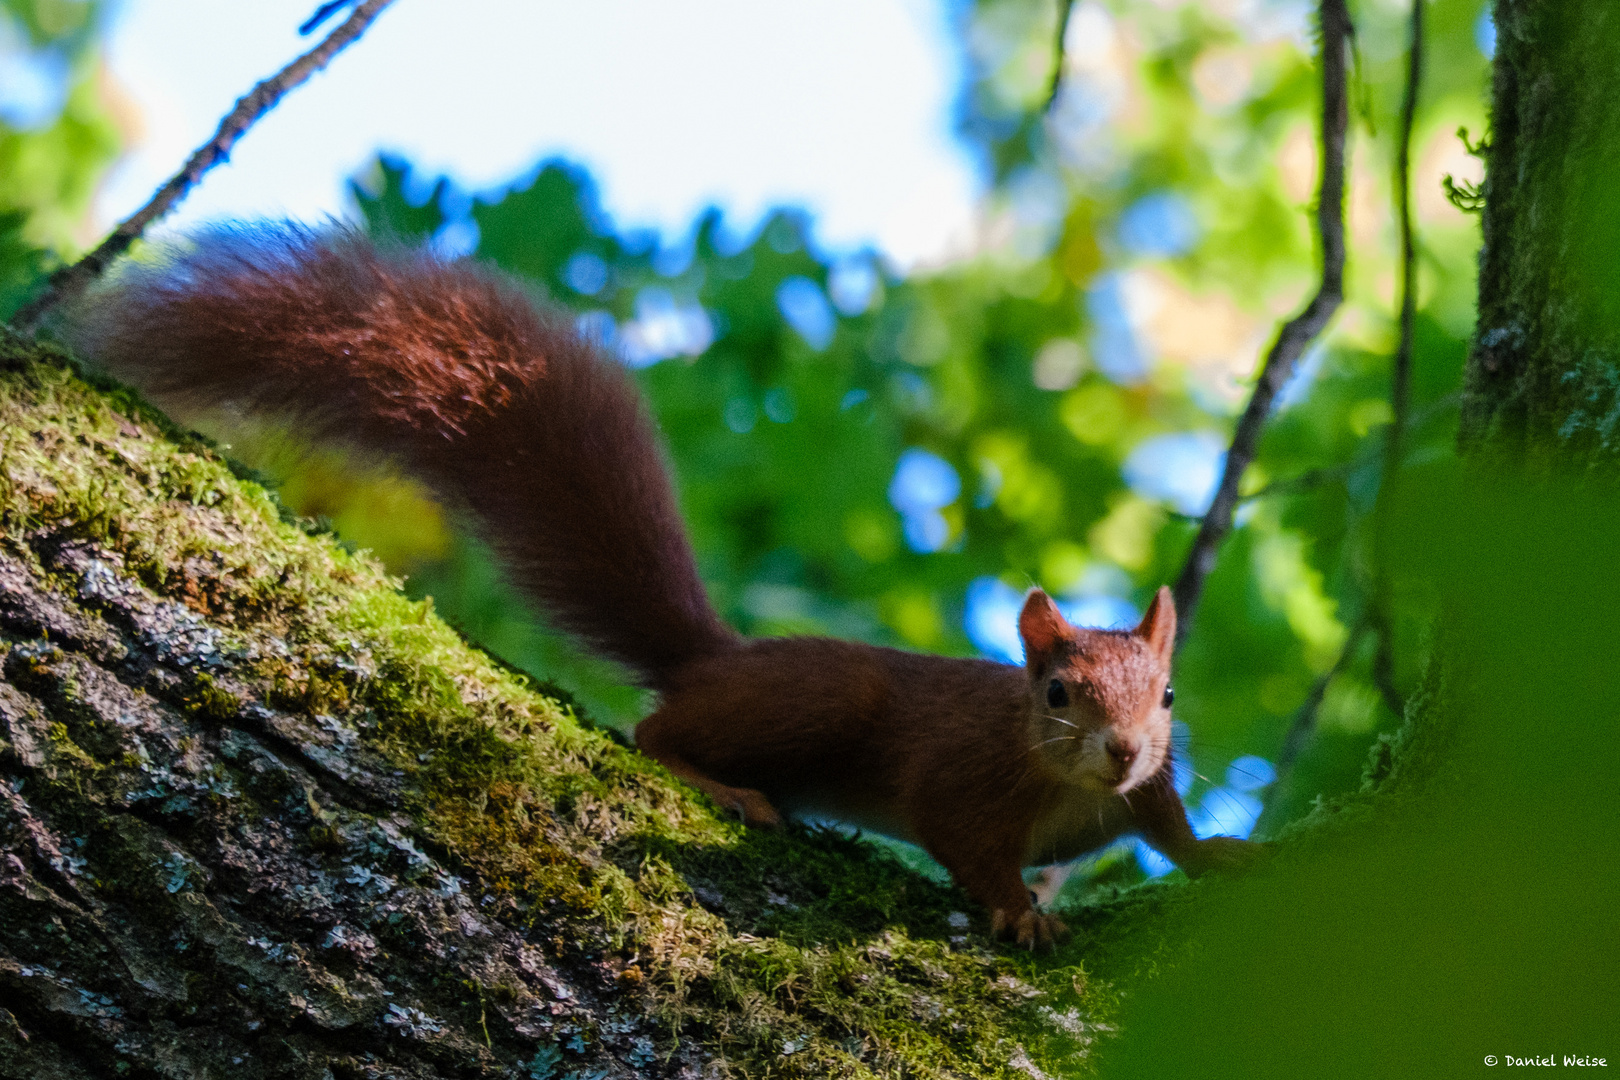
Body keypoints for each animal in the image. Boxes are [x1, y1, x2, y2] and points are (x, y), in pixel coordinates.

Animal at [59, 226, 1250, 945]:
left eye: (1168, 696)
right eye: (1055, 692)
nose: (1123, 747)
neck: (1066, 784)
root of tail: (717, 658)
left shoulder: (1141, 794)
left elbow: (1171, 830)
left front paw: (1218, 852)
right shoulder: (964, 778)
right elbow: (965, 843)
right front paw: (1019, 912)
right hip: (814, 703)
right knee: (654, 730)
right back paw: (723, 783)